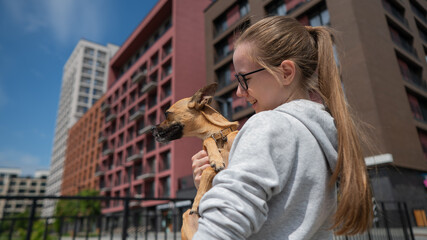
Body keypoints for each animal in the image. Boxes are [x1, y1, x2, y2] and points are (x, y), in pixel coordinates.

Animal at [153, 83, 241, 239]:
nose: (152, 129)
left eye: (166, 113)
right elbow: (208, 143)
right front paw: (216, 159)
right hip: (187, 217)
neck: (220, 137)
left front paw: (216, 161)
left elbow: (209, 167)